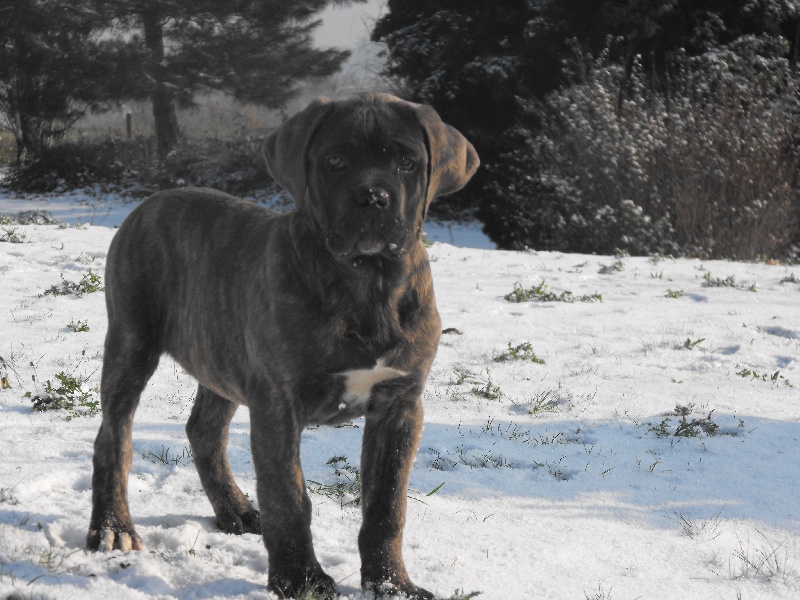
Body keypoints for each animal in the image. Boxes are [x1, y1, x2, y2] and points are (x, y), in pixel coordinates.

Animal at [87, 91, 478, 596]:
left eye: (407, 162)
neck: (368, 283)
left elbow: (387, 504)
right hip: (131, 343)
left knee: (204, 430)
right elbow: (288, 496)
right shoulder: (278, 402)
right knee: (114, 438)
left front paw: (391, 584)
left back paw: (234, 510)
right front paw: (301, 580)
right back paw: (113, 528)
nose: (372, 197)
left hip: (223, 357)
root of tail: (149, 202)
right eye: (335, 161)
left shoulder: (400, 405)